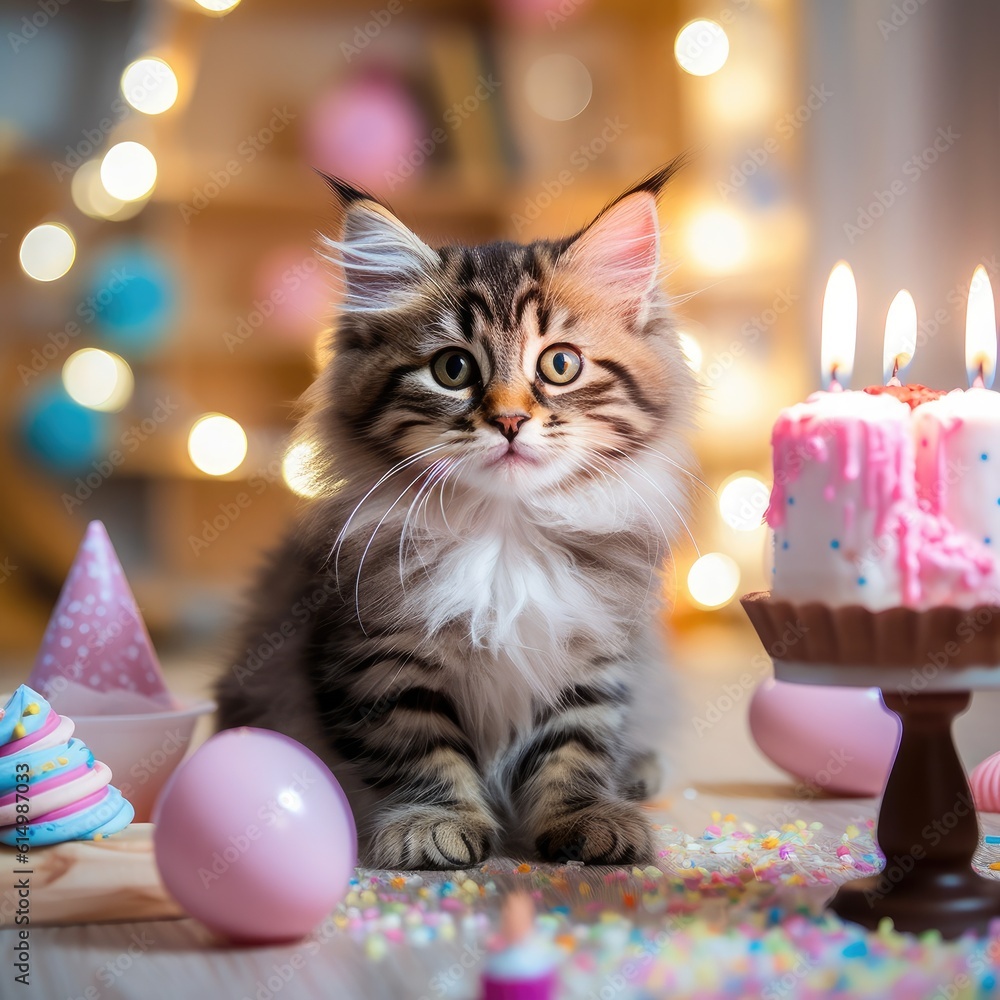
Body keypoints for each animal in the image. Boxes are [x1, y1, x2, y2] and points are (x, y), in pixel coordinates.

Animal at [213, 164, 696, 868]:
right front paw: (434, 823)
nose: (510, 420)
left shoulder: (595, 653)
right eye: (453, 368)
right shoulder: (376, 657)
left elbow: (575, 746)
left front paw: (588, 819)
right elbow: (420, 748)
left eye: (560, 364)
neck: (506, 536)